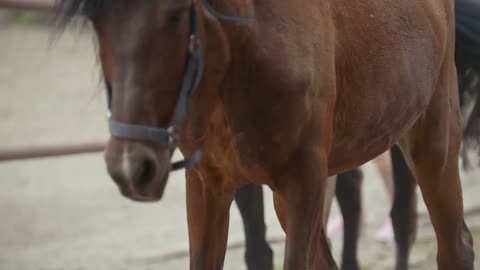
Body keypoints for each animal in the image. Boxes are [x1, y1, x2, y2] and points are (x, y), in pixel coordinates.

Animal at [57, 0, 472, 270]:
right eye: (94, 18)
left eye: (175, 14)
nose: (132, 168)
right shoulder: (209, 183)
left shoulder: (303, 181)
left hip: (431, 138)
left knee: (452, 243)